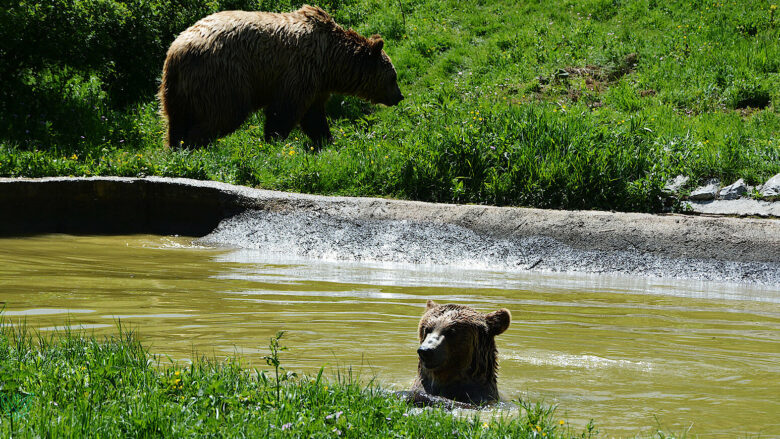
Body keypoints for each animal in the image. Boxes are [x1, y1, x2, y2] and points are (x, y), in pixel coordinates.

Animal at [158, 4, 402, 150]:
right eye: (393, 77)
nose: (399, 97)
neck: (330, 62)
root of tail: (177, 50)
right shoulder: (299, 72)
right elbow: (284, 111)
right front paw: (273, 141)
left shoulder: (317, 84)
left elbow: (314, 117)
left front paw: (326, 141)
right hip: (222, 76)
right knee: (225, 113)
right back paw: (195, 146)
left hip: (176, 90)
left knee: (176, 122)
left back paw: (176, 147)